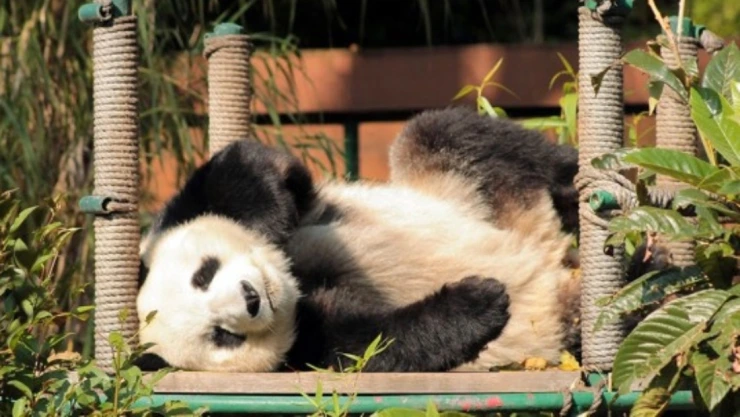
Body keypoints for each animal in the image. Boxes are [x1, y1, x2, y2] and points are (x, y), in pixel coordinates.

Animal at [136, 106, 581, 373]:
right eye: (222, 336)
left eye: (204, 274)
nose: (251, 299)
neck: (295, 284)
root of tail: (553, 253)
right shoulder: (305, 346)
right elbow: (375, 343)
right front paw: (479, 301)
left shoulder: (179, 213)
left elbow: (251, 166)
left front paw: (271, 227)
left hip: (466, 189)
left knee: (449, 134)